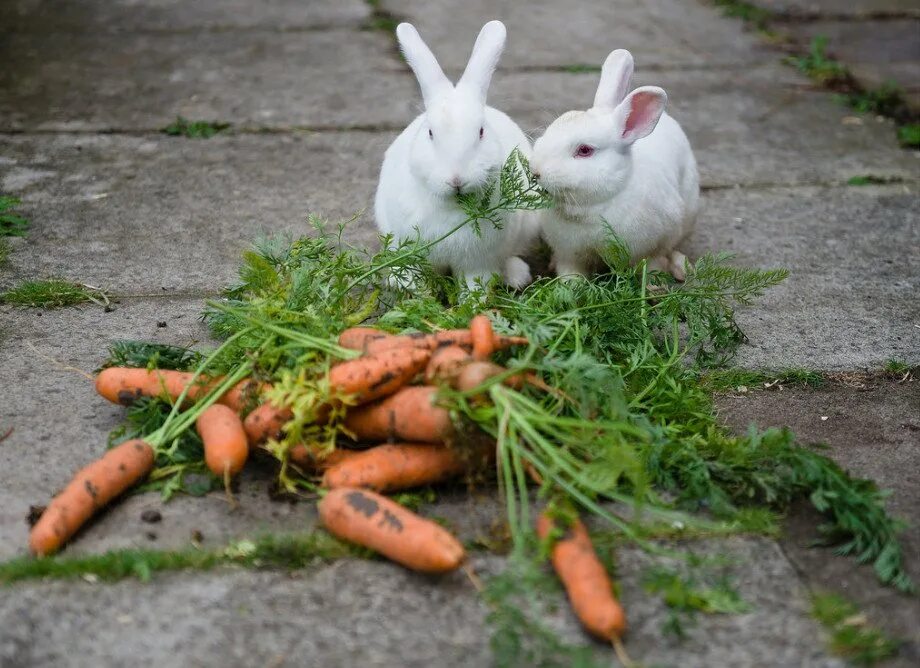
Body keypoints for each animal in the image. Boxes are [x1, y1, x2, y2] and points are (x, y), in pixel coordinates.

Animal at [376, 20, 540, 288]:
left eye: (481, 131)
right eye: (430, 133)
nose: (456, 180)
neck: (454, 207)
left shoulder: (478, 263)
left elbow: (475, 286)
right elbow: (420, 281)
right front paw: (412, 291)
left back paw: (516, 276)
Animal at [528, 49, 700, 280]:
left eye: (585, 150)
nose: (535, 171)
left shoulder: (654, 245)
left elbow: (653, 261)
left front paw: (652, 283)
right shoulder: (569, 252)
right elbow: (570, 270)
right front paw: (570, 286)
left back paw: (681, 268)